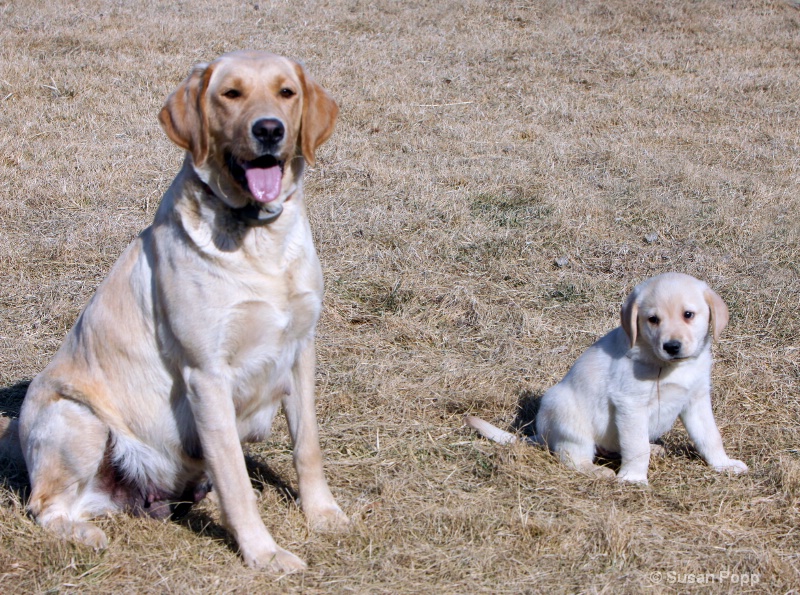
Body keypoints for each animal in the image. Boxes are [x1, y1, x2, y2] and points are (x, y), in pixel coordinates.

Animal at [11, 51, 346, 572]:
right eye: (231, 93)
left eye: (286, 92)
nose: (269, 130)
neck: (257, 239)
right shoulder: (206, 374)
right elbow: (237, 481)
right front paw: (264, 554)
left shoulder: (300, 350)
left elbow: (307, 447)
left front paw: (323, 514)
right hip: (76, 416)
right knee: (43, 505)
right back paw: (84, 534)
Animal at [466, 274, 748, 484]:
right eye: (653, 320)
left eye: (688, 314)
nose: (672, 346)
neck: (670, 366)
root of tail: (541, 436)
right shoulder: (631, 404)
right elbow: (636, 446)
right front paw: (633, 478)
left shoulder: (696, 399)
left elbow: (710, 436)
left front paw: (723, 464)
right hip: (566, 414)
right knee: (571, 456)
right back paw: (597, 470)